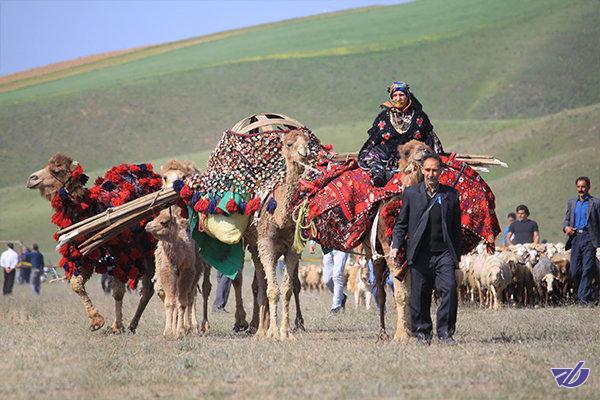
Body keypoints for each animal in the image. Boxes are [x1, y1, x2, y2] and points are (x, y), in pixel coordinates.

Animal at [25, 155, 157, 332]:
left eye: (56, 170)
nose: (31, 178)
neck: (91, 211)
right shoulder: (84, 256)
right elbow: (76, 284)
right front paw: (96, 321)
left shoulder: (122, 256)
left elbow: (118, 292)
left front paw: (117, 327)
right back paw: (133, 324)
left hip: (149, 250)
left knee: (148, 288)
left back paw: (133, 324)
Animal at [244, 129, 310, 340]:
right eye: (289, 144)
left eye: (307, 141)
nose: (304, 152)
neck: (280, 217)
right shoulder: (265, 244)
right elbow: (272, 290)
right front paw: (273, 332)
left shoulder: (293, 248)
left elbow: (287, 289)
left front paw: (286, 333)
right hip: (255, 248)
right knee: (260, 285)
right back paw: (260, 330)